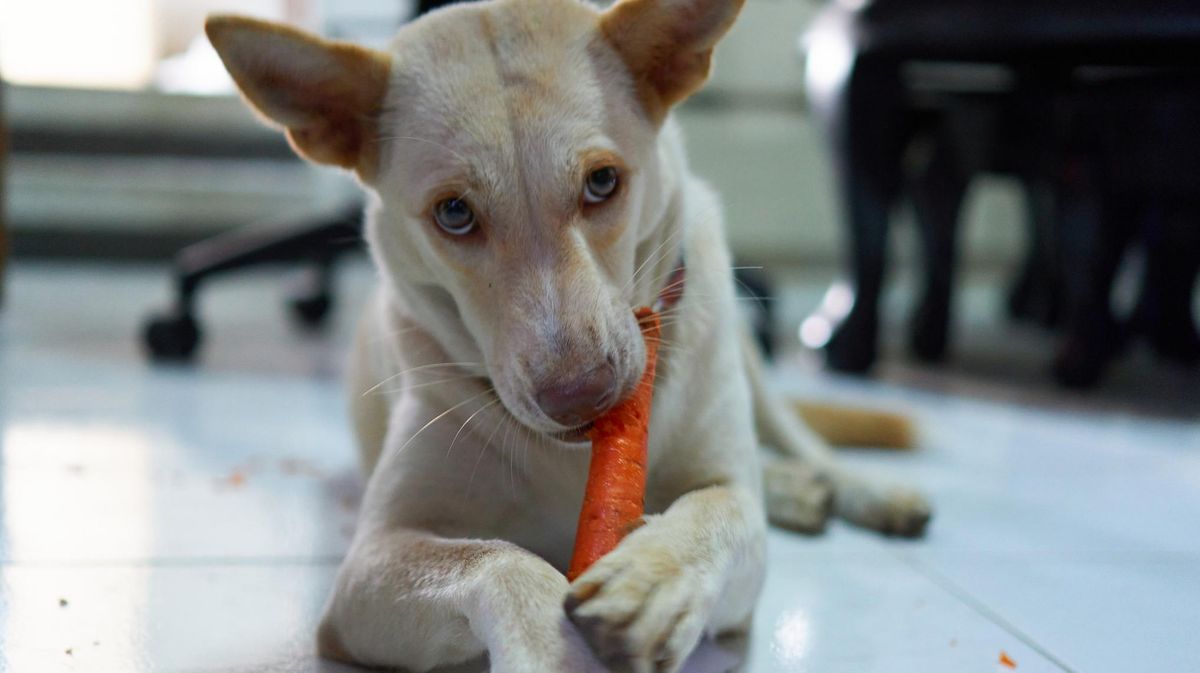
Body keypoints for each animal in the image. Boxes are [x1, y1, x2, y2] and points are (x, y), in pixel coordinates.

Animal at [208, 2, 926, 667]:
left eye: (603, 181)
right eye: (454, 212)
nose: (582, 395)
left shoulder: (729, 503)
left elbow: (719, 510)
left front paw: (652, 577)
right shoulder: (368, 567)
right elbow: (497, 560)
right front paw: (553, 649)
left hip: (747, 357)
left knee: (797, 437)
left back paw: (860, 489)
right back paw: (801, 492)